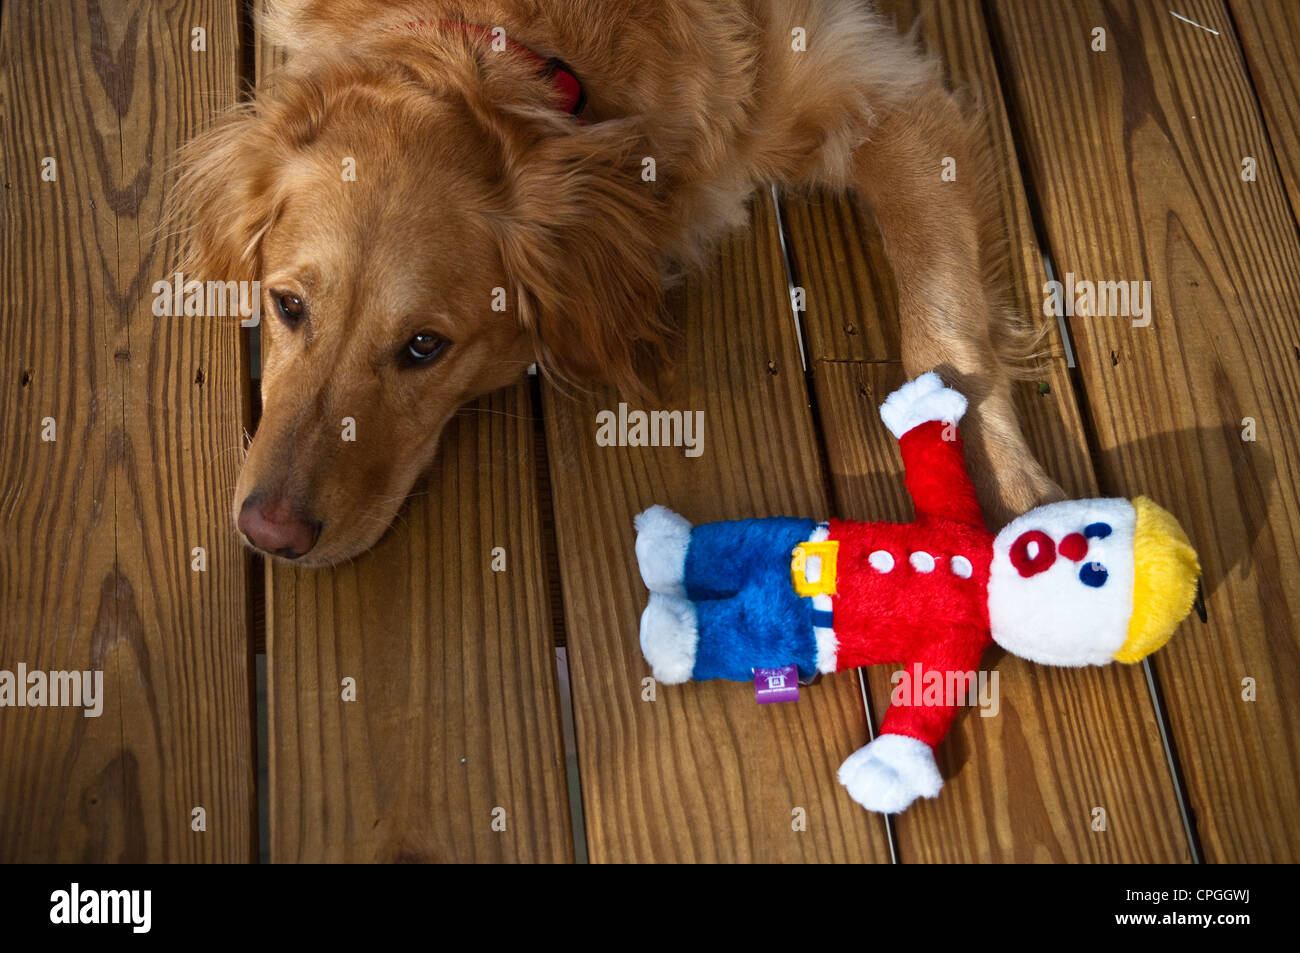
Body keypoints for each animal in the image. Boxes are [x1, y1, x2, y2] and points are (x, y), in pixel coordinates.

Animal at [172, 1, 1060, 564]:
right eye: (288, 305)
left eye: (424, 346)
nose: (270, 534)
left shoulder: (879, 89)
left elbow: (940, 326)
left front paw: (1002, 485)